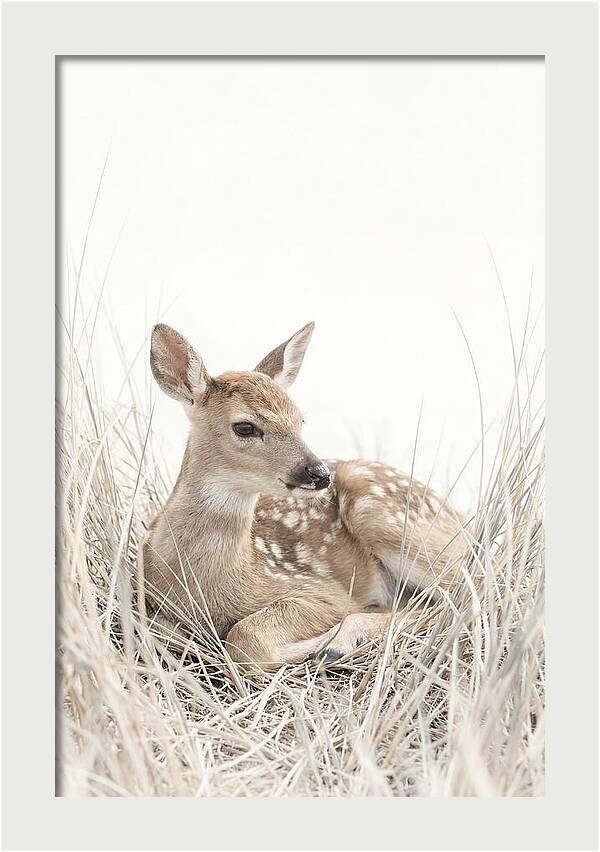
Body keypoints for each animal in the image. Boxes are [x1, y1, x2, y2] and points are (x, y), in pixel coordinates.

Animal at [142, 321, 468, 670]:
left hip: (385, 516)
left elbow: (246, 638)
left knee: (461, 594)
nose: (320, 473)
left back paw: (338, 643)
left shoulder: (320, 589)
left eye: (300, 420)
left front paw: (318, 645)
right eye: (245, 427)